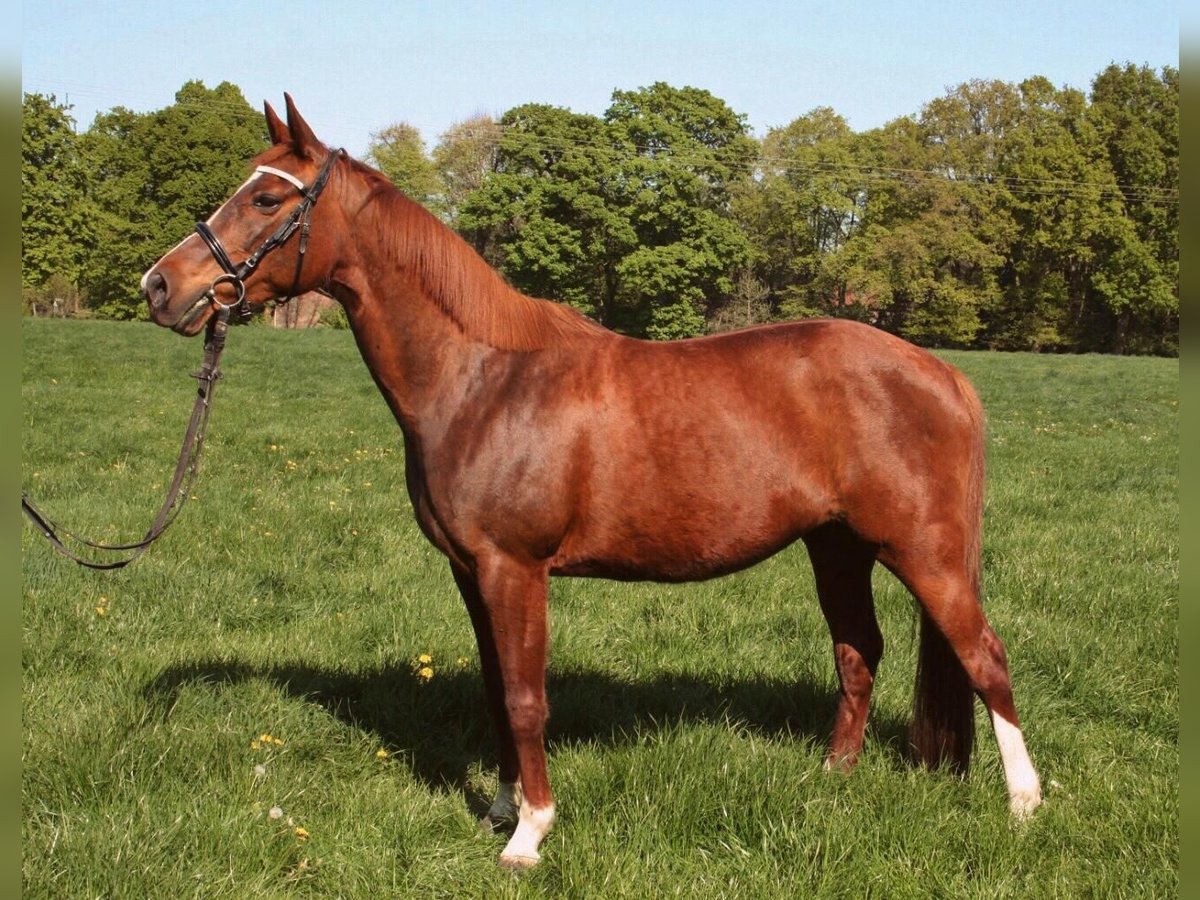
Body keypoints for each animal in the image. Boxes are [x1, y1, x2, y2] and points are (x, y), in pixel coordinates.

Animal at [141, 95, 1041, 868]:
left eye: (266, 198)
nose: (161, 285)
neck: (483, 379)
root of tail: (941, 374)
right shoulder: (471, 574)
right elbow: (498, 690)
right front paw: (501, 806)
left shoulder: (515, 569)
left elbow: (526, 697)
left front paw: (529, 834)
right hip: (838, 547)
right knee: (860, 653)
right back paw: (831, 781)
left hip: (924, 552)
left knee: (985, 656)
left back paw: (1025, 806)